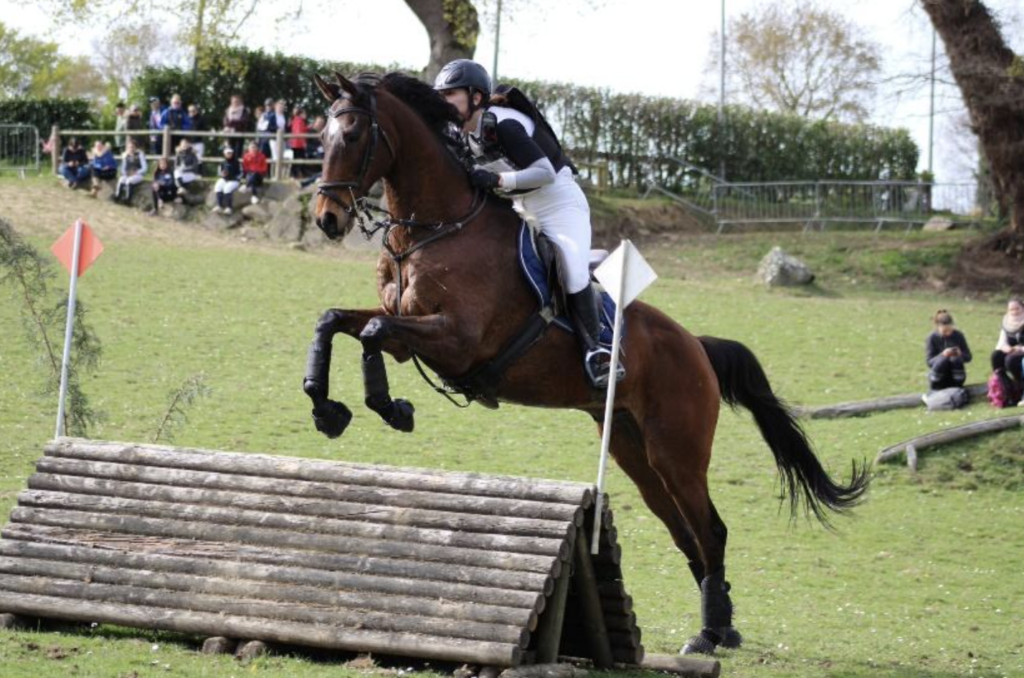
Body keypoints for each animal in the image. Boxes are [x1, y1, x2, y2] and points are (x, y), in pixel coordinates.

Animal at [299, 71, 868, 655]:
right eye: (319, 138)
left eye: (351, 136)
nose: (327, 219)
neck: (437, 227)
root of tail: (697, 346)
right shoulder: (408, 333)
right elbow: (336, 321)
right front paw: (328, 409)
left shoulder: (457, 340)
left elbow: (371, 333)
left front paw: (390, 407)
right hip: (632, 449)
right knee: (683, 529)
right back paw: (725, 624)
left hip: (678, 450)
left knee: (710, 529)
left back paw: (709, 633)